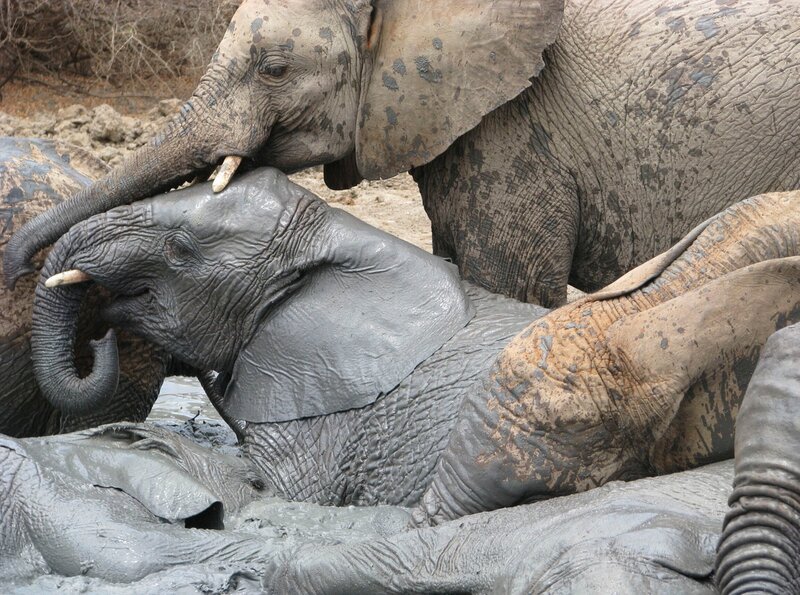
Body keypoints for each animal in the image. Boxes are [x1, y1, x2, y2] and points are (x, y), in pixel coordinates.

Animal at [31, 168, 800, 526]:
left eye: (181, 250)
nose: (100, 327)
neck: (343, 235)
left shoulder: (327, 420)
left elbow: (276, 496)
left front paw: (147, 443)